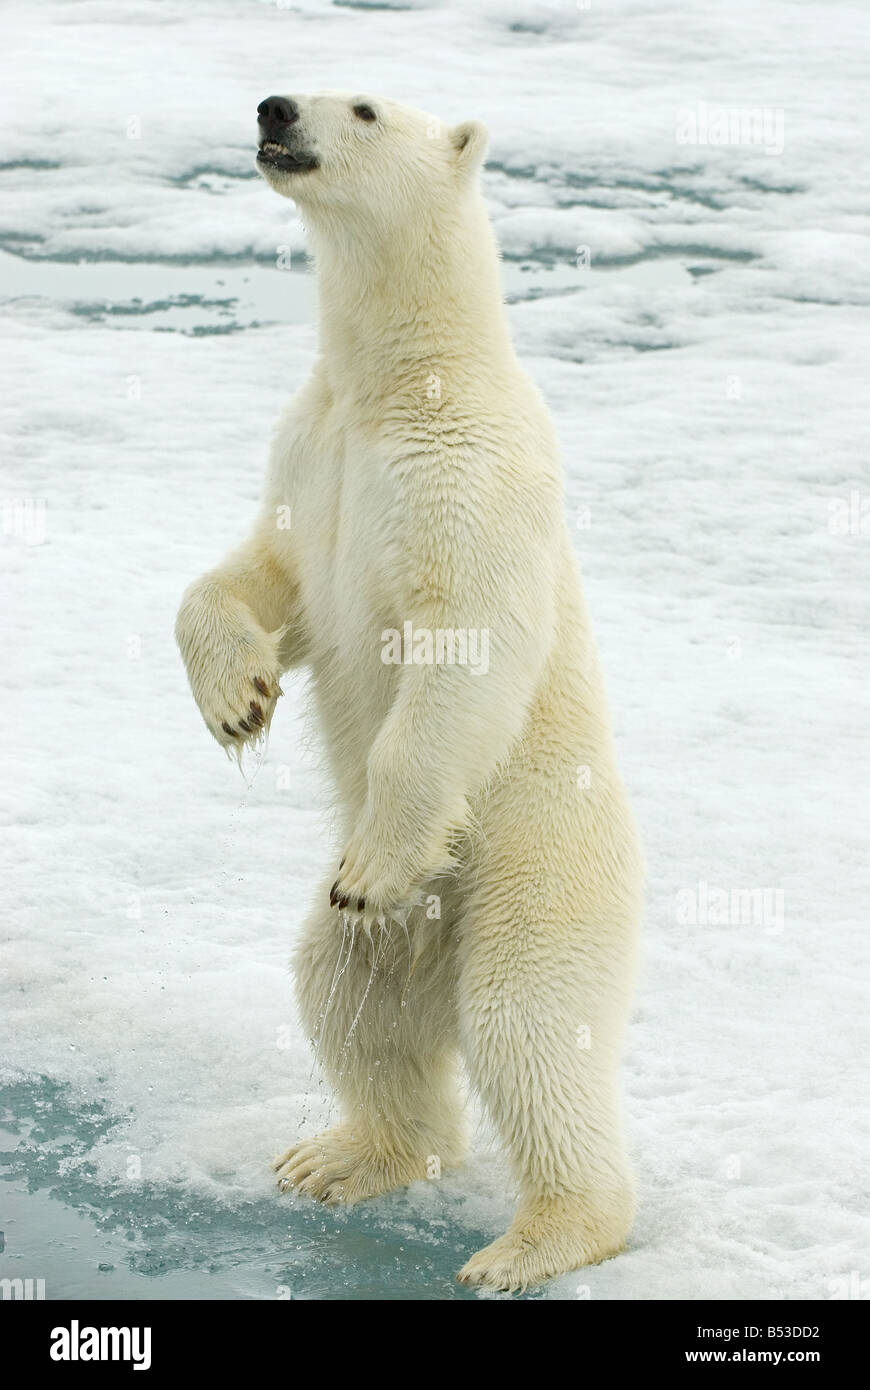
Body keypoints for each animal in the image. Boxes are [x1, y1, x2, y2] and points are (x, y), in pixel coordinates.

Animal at [174, 91, 644, 1293]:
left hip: (537, 864)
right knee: (344, 995)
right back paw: (343, 1156)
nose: (273, 107)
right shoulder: (314, 456)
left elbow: (466, 643)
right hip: (402, 947)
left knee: (525, 1023)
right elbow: (266, 578)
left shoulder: (467, 472)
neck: (396, 382)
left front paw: (374, 864)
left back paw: (538, 1239)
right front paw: (238, 700)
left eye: (366, 107)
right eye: (301, 91)